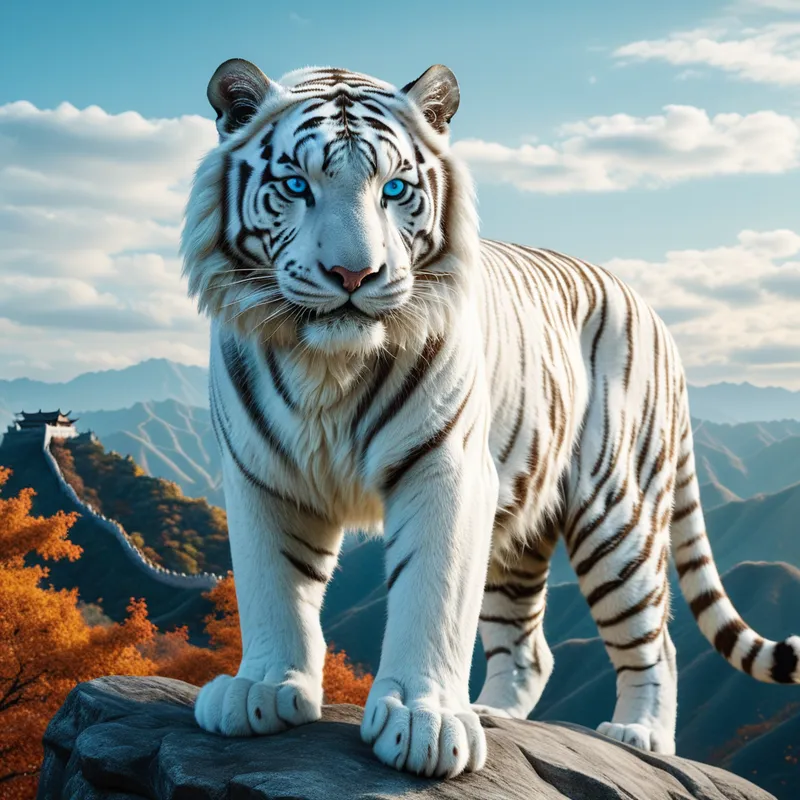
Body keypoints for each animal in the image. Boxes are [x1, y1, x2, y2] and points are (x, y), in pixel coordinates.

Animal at [181, 58, 800, 779]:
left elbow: (431, 594)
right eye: (295, 185)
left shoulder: (445, 469)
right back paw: (494, 713)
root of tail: (652, 311)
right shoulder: (262, 474)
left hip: (616, 515)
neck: (328, 366)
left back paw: (638, 735)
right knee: (530, 649)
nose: (353, 274)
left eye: (395, 188)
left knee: (656, 642)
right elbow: (271, 585)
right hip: (517, 523)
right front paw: (262, 688)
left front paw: (422, 721)